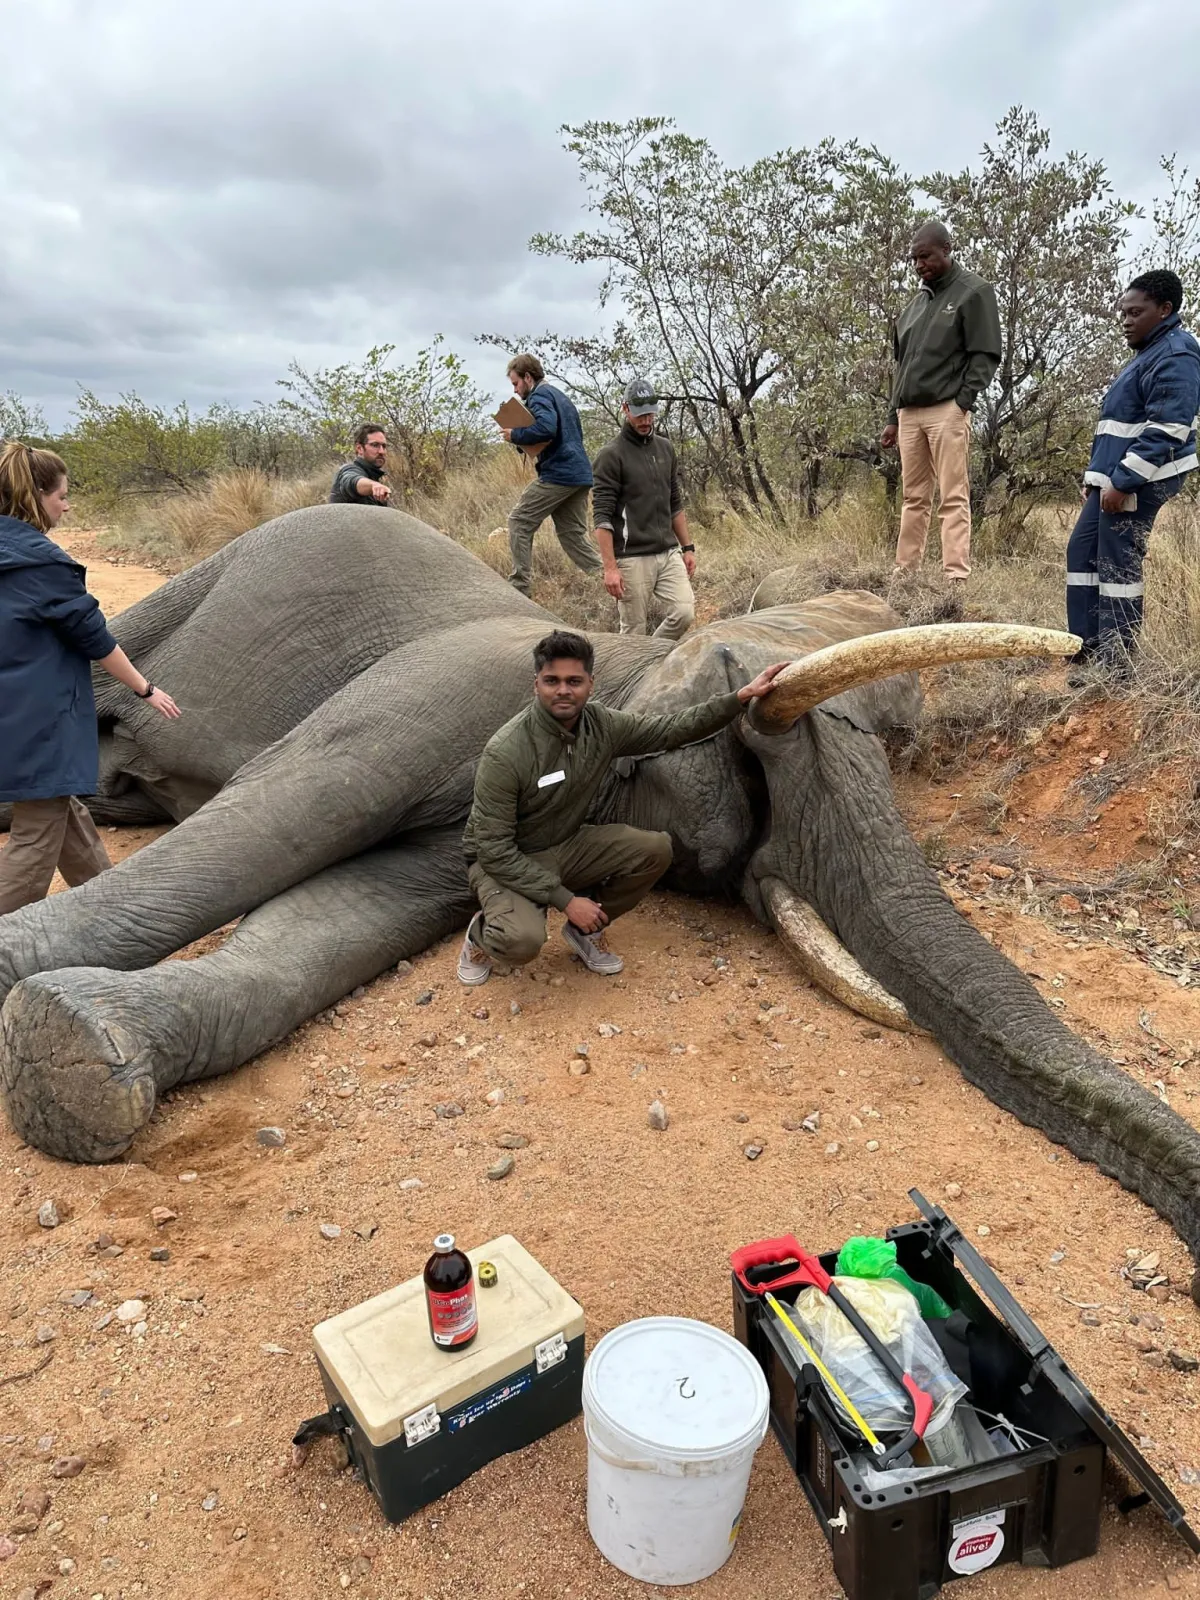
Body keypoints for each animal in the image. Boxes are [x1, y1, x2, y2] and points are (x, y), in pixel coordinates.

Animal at [3, 504, 1200, 1300]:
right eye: (754, 739)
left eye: (903, 752)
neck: (621, 667)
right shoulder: (434, 690)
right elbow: (270, 823)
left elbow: (322, 931)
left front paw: (73, 1054)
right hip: (182, 587)